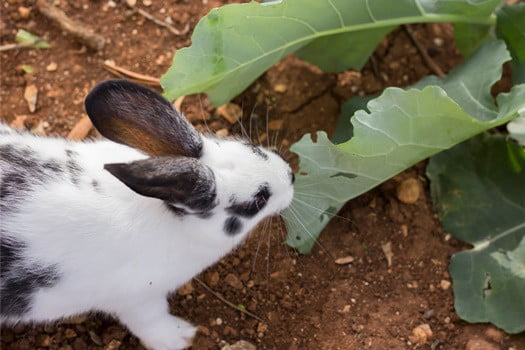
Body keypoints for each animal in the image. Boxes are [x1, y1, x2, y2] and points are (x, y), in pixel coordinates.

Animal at [0, 80, 294, 350]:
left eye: (250, 146)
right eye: (258, 199)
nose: (290, 176)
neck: (168, 215)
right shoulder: (138, 300)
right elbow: (152, 322)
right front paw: (182, 336)